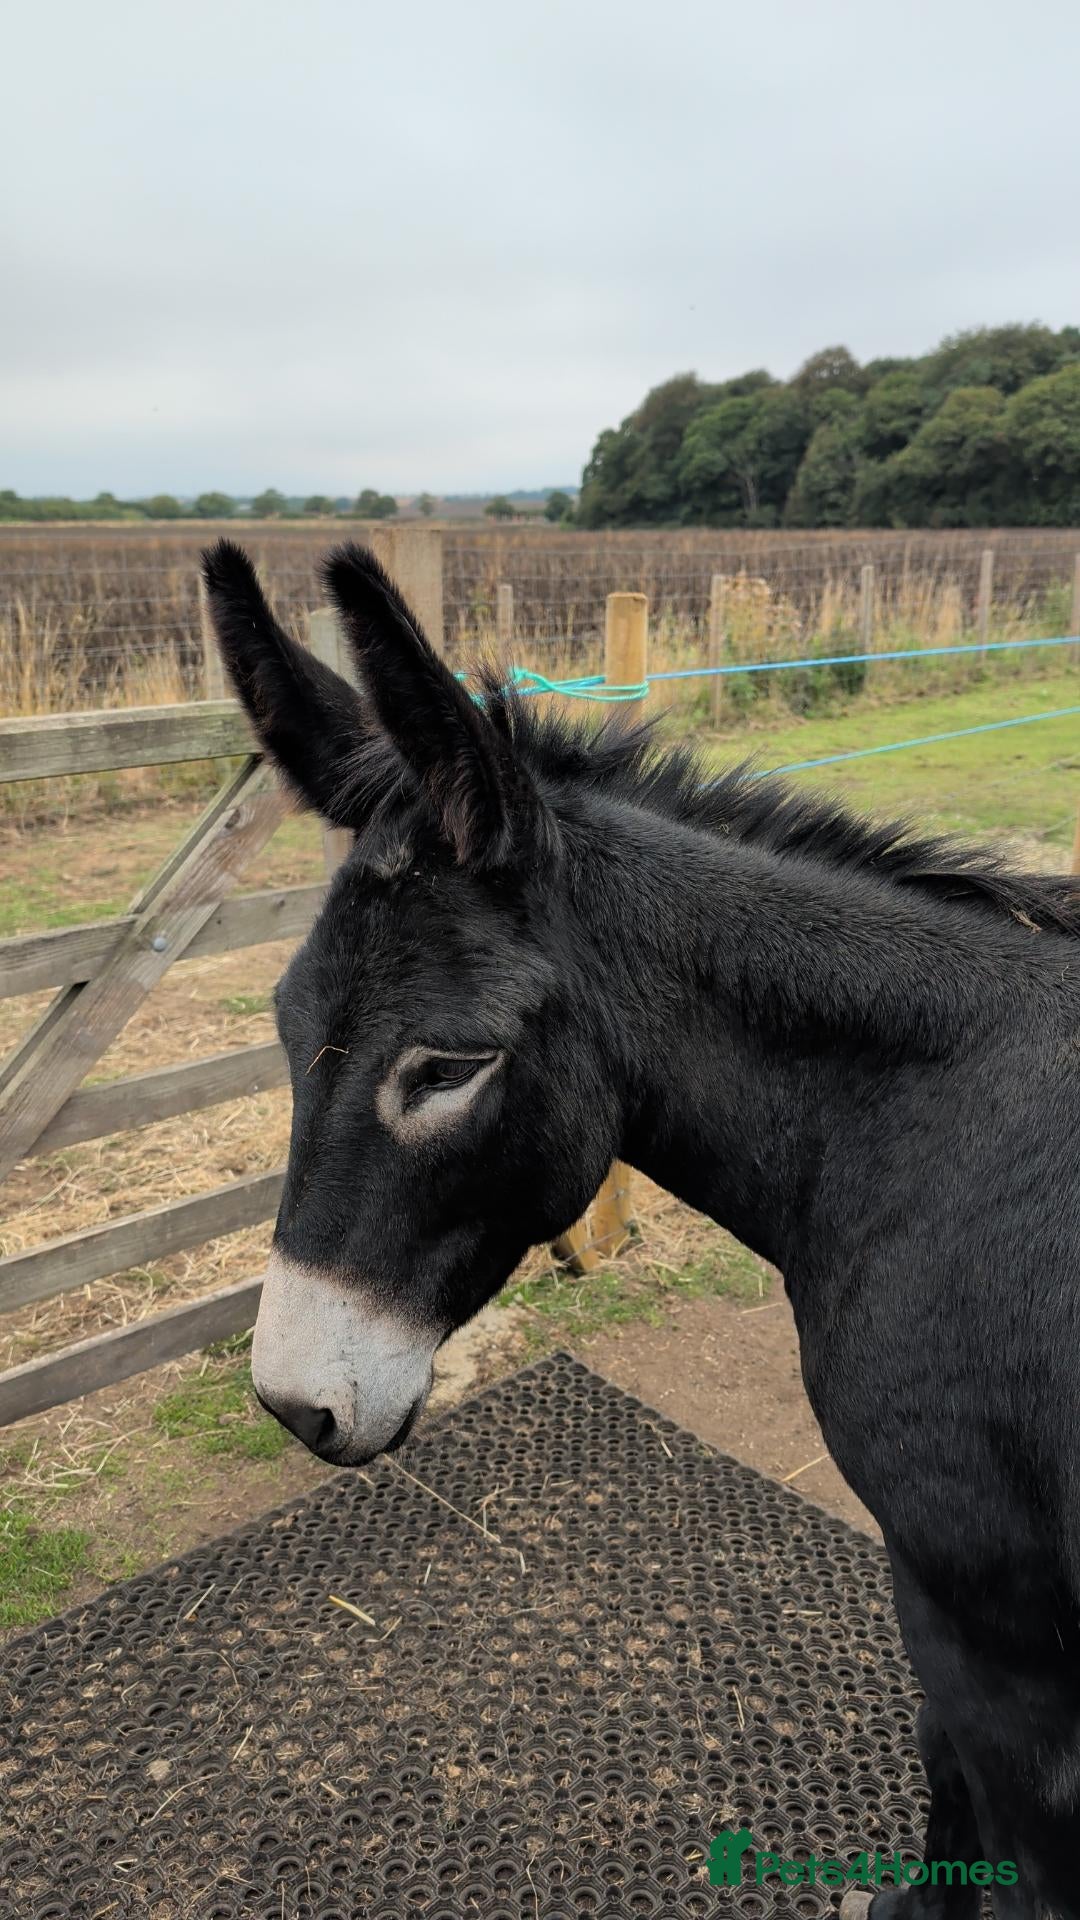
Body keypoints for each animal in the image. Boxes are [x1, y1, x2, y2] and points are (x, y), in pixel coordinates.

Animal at [201, 538, 1080, 1918]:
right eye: (287, 1027)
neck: (920, 1106)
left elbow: (962, 1771)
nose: (293, 1405)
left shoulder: (989, 1621)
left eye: (447, 1069)